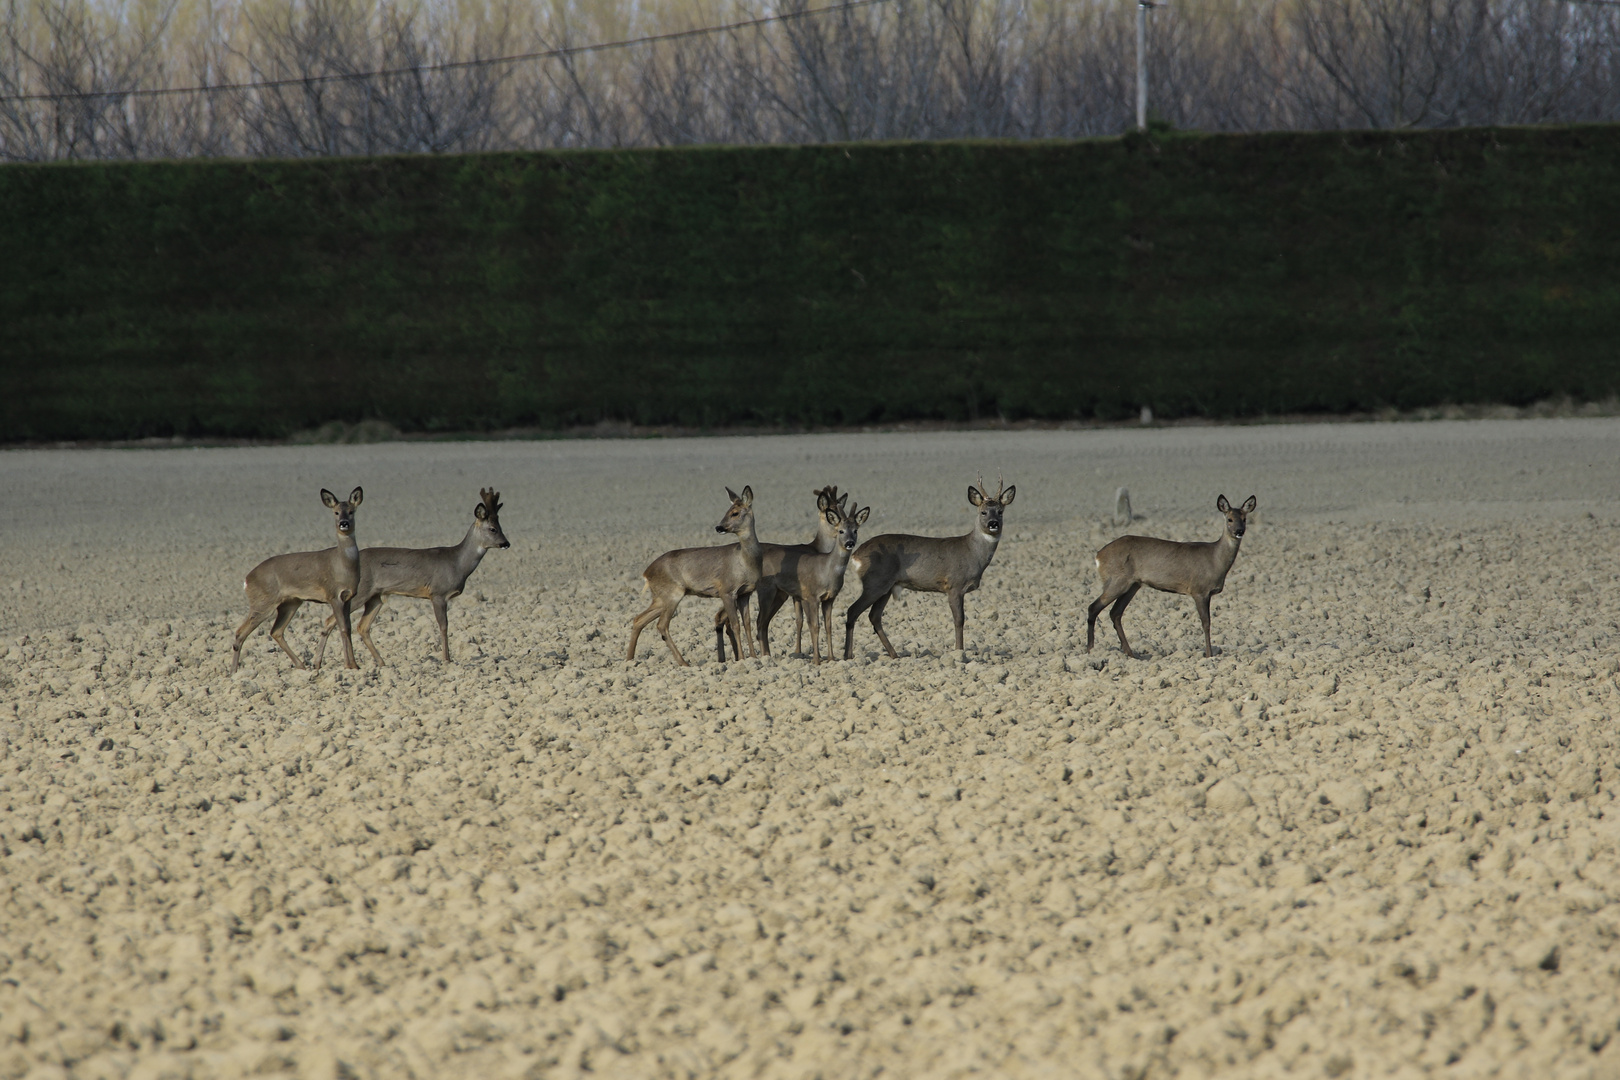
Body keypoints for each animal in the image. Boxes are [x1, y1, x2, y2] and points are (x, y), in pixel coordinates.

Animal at [231, 488, 364, 670]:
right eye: (336, 512)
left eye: (351, 511)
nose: (344, 523)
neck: (343, 565)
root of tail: (247, 580)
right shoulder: (333, 595)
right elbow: (343, 628)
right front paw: (350, 666)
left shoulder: (348, 597)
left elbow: (348, 628)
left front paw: (355, 665)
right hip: (263, 602)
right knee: (240, 632)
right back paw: (232, 672)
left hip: (291, 603)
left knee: (276, 631)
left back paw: (301, 665)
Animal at [312, 488, 508, 667]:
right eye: (492, 529)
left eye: (501, 527)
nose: (506, 543)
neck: (457, 563)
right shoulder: (438, 593)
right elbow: (443, 626)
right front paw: (447, 659)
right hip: (360, 593)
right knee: (331, 620)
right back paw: (322, 663)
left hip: (376, 597)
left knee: (362, 627)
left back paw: (380, 662)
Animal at [628, 488, 761, 667]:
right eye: (727, 511)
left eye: (735, 512)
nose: (719, 527)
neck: (745, 561)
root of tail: (646, 573)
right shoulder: (726, 591)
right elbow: (735, 624)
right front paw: (741, 658)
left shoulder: (745, 593)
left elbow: (747, 624)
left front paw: (754, 657)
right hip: (672, 594)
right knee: (661, 625)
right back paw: (684, 663)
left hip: (660, 598)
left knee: (639, 619)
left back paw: (629, 660)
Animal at [848, 476, 1010, 663]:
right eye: (983, 512)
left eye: (1000, 511)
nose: (993, 524)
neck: (972, 553)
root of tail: (856, 555)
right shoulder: (954, 585)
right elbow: (959, 619)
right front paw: (959, 652)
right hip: (875, 583)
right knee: (853, 611)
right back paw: (848, 656)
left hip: (886, 587)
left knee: (874, 616)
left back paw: (895, 655)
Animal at [1082, 488, 1257, 660]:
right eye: (1229, 519)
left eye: (1244, 518)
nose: (1239, 531)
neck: (1215, 560)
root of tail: (1098, 556)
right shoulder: (1199, 590)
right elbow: (1206, 623)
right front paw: (1209, 656)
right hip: (1117, 581)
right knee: (1093, 607)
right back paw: (1090, 650)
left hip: (1133, 585)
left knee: (1115, 613)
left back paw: (1131, 654)